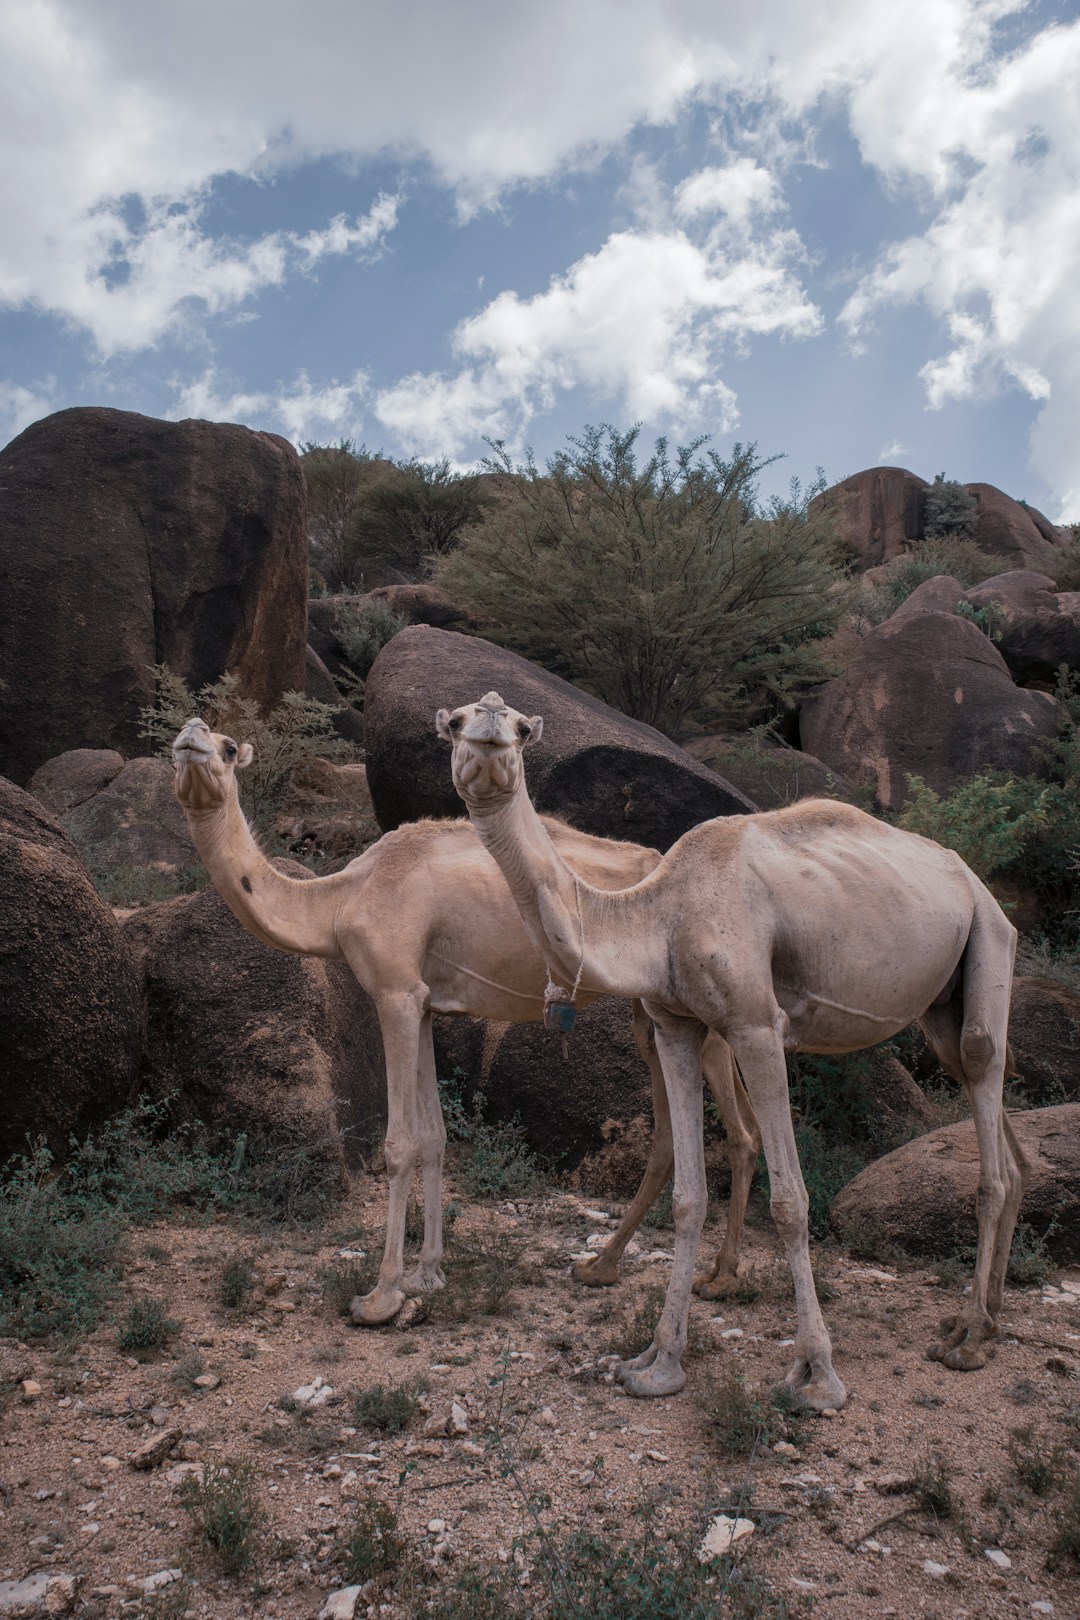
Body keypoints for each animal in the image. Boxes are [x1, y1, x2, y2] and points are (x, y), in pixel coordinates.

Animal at [169, 716, 761, 1321]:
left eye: (229, 748)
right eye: (179, 741)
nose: (193, 733)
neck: (341, 900)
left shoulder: (395, 991)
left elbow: (400, 1144)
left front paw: (381, 1295)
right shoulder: (427, 1004)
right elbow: (434, 1135)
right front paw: (428, 1274)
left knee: (740, 1130)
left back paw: (720, 1277)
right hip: (650, 1012)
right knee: (676, 1132)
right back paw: (602, 1266)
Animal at [437, 690, 1029, 1412]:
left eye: (522, 729)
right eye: (457, 722)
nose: (491, 731)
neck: (658, 918)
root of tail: (978, 883)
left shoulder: (754, 1023)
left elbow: (791, 1202)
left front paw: (816, 1374)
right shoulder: (676, 1026)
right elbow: (689, 1194)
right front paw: (657, 1363)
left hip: (989, 940)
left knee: (985, 1095)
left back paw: (966, 1339)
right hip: (945, 1004)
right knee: (987, 1101)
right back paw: (989, 1318)